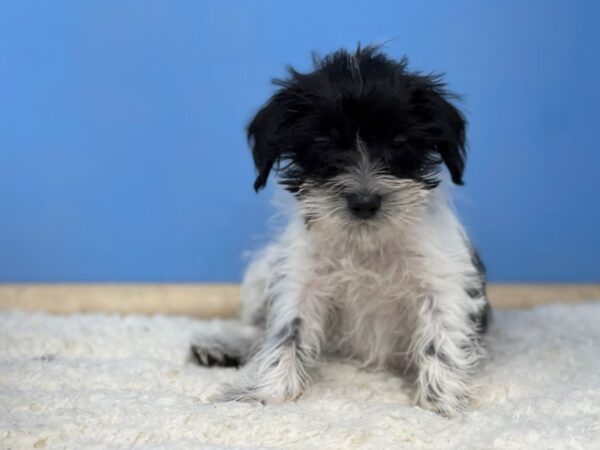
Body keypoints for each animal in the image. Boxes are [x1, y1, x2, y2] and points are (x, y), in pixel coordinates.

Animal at [192, 44, 488, 414]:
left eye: (399, 141)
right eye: (324, 142)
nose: (364, 201)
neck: (367, 246)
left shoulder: (442, 283)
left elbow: (441, 340)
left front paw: (442, 405)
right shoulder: (301, 282)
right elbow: (286, 334)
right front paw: (263, 394)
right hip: (264, 268)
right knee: (258, 327)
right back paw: (220, 345)